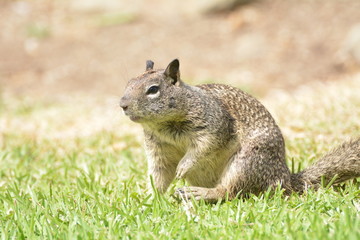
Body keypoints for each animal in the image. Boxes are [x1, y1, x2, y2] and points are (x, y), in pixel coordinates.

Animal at [119, 59, 358, 201]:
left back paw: (200, 193)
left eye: (153, 89)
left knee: (228, 191)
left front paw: (183, 167)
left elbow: (202, 149)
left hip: (246, 163)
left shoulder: (214, 127)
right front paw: (149, 200)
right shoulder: (159, 151)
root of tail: (284, 180)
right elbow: (158, 176)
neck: (164, 126)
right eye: (128, 83)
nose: (122, 105)